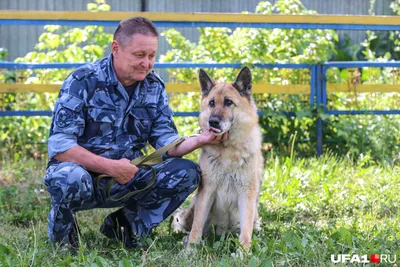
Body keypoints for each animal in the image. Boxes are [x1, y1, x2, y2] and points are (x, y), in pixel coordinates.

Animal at [171, 67, 262, 251]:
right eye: (211, 103)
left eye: (228, 102)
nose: (213, 122)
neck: (227, 150)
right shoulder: (206, 191)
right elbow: (197, 226)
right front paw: (190, 249)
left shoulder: (246, 194)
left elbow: (246, 230)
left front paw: (243, 251)